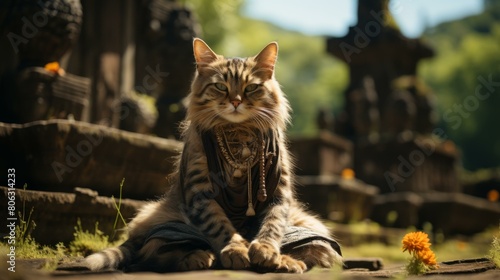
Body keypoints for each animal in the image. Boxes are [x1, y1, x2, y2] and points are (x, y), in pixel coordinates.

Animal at [87, 37, 344, 274]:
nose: (235, 102)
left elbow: (272, 226)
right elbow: (220, 226)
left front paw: (266, 251)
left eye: (251, 88)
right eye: (221, 86)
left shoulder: (277, 192)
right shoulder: (201, 191)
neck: (239, 133)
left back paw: (287, 262)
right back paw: (200, 258)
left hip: (311, 225)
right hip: (163, 222)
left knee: (316, 250)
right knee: (157, 253)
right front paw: (236, 251)